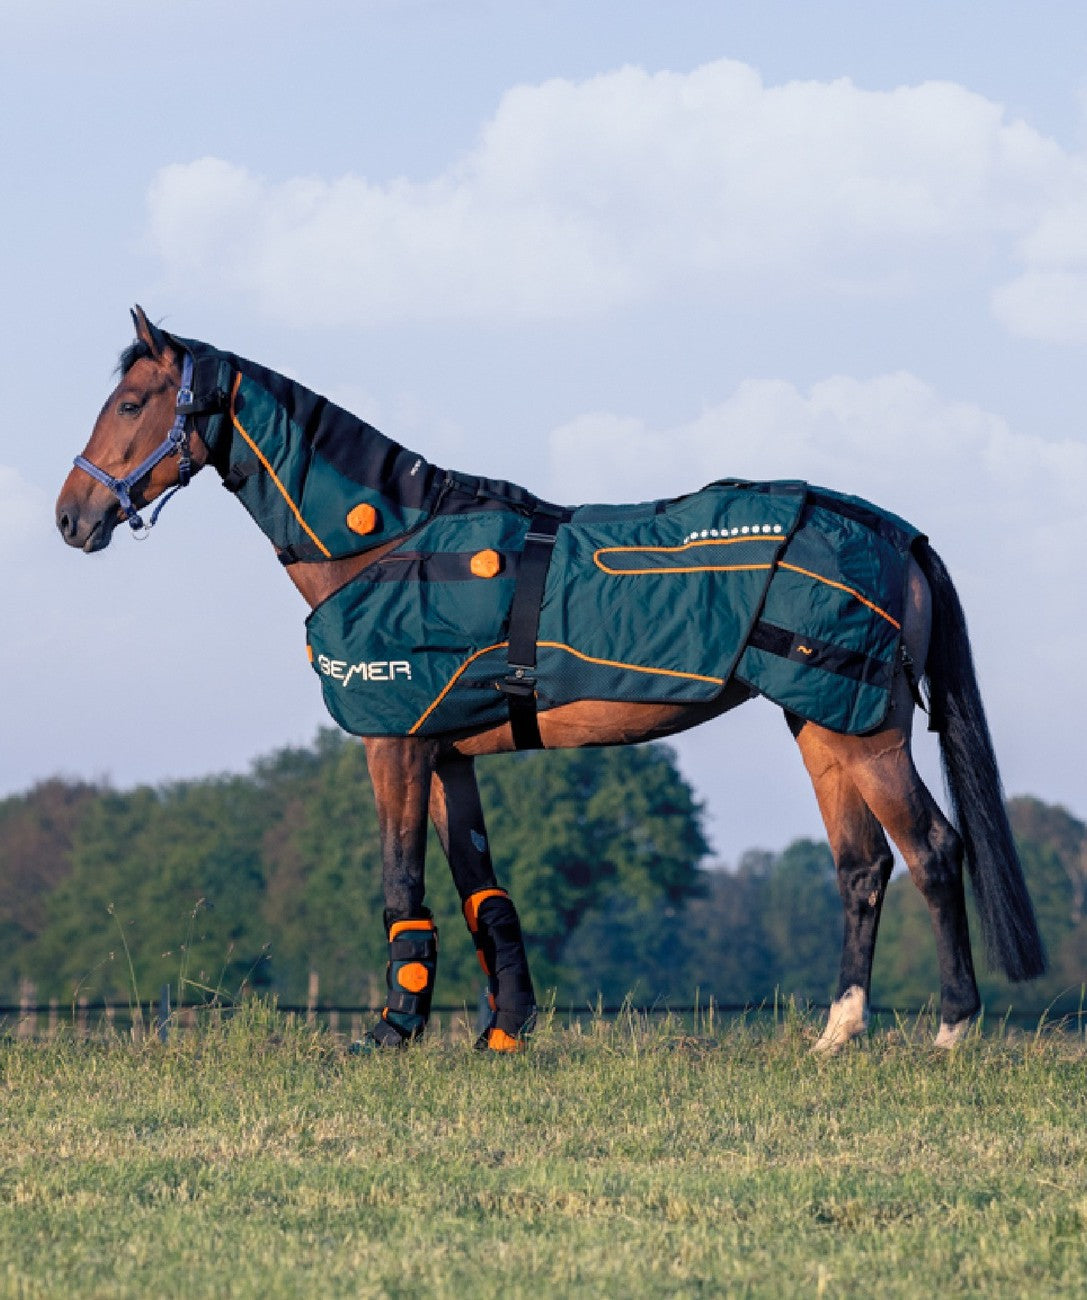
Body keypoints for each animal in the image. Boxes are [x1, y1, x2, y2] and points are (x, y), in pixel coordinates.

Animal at [55, 307, 1046, 1052]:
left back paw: (951, 1031)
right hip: (821, 726)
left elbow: (401, 882)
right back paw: (836, 1035)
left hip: (863, 731)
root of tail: (892, 530)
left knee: (932, 851)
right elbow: (481, 893)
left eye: (135, 400)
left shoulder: (394, 744)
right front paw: (505, 1029)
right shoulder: (448, 754)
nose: (73, 516)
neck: (392, 540)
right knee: (861, 866)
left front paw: (393, 1030)